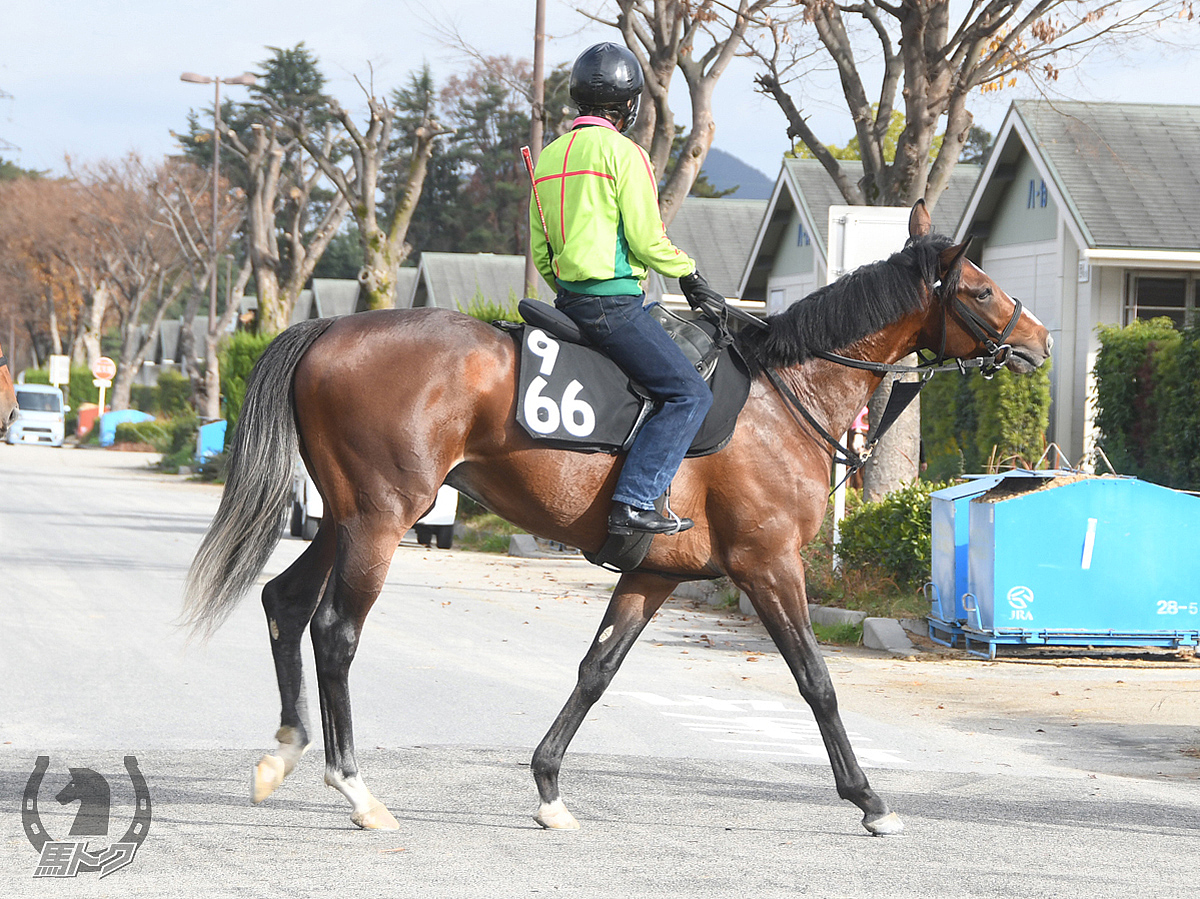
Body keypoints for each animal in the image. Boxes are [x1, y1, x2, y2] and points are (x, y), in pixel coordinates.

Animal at [180, 200, 1051, 830]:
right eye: (978, 288)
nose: (1039, 342)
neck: (785, 394)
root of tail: (333, 325)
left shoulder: (655, 574)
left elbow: (596, 672)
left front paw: (549, 787)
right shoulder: (769, 564)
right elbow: (817, 681)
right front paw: (868, 798)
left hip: (342, 517)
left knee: (285, 601)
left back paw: (284, 751)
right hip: (381, 518)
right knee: (335, 631)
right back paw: (355, 788)